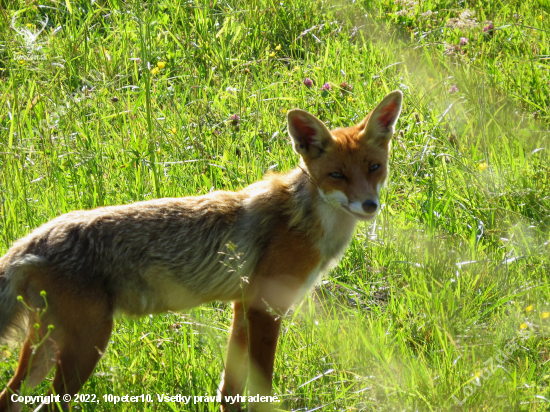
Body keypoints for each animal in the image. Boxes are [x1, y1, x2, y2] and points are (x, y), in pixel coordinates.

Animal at [1, 91, 406, 412]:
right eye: (337, 175)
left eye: (374, 168)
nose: (369, 206)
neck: (304, 220)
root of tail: (32, 239)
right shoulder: (265, 309)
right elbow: (261, 389)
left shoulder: (243, 306)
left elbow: (230, 391)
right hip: (87, 343)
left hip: (49, 345)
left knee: (9, 398)